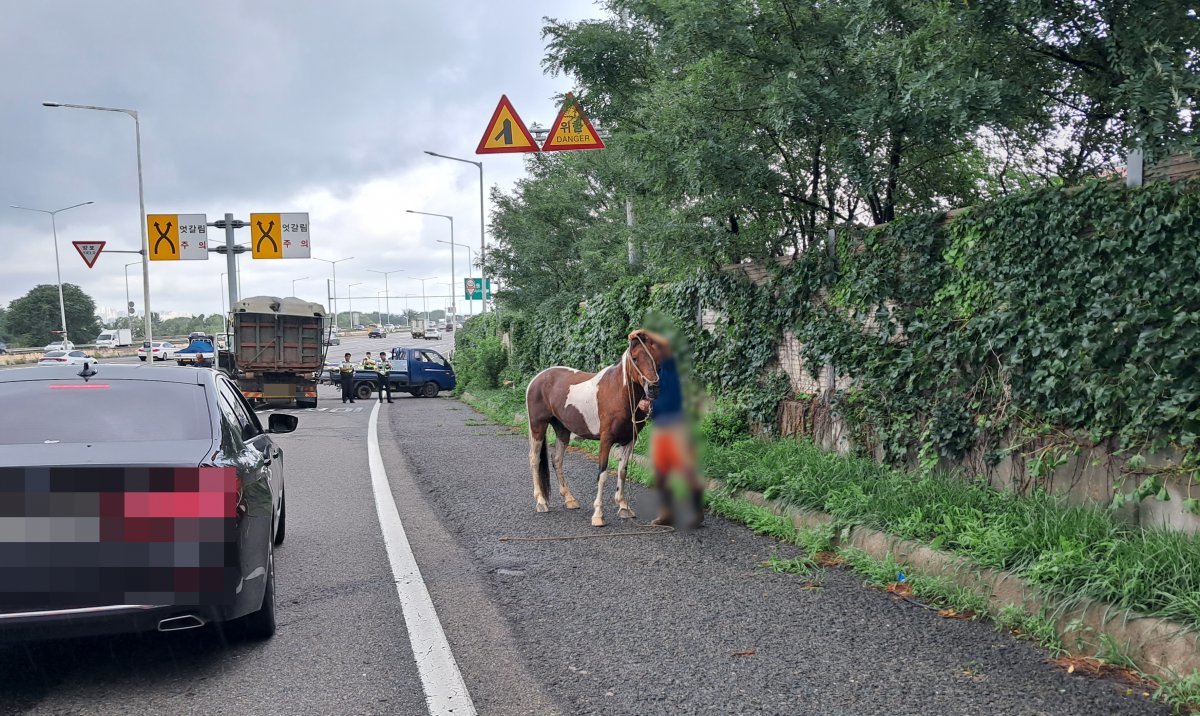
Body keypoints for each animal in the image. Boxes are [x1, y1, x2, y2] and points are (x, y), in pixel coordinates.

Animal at [525, 328, 672, 525]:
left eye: (657, 359)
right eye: (634, 358)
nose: (653, 389)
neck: (618, 393)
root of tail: (536, 379)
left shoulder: (629, 441)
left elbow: (622, 471)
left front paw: (623, 507)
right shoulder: (606, 440)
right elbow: (602, 475)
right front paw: (598, 515)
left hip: (562, 430)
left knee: (557, 460)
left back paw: (570, 499)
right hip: (538, 426)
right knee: (534, 459)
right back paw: (541, 502)